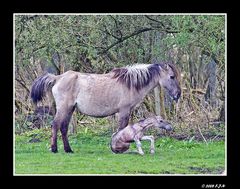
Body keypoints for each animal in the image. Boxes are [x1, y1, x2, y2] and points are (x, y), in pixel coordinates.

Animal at [30, 62, 180, 152]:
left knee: (64, 127)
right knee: (55, 125)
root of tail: (57, 78)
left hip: (70, 109)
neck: (130, 84)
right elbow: (122, 128)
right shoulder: (124, 111)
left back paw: (68, 150)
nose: (178, 94)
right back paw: (54, 149)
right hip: (63, 108)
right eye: (172, 77)